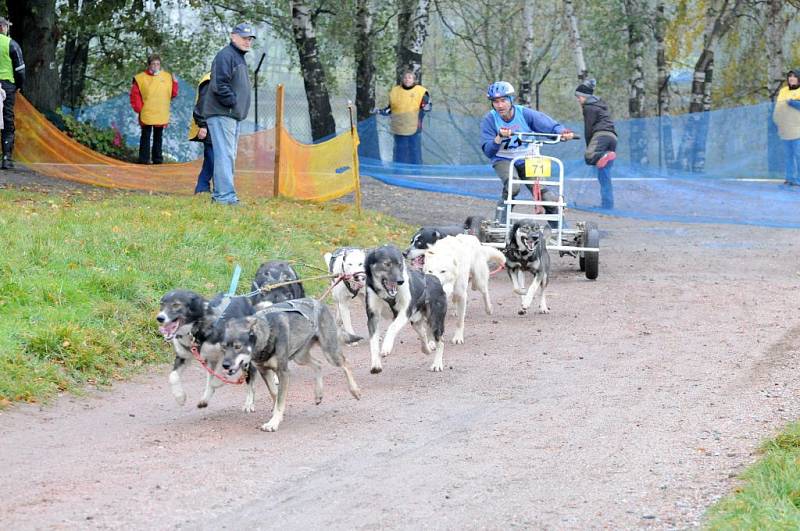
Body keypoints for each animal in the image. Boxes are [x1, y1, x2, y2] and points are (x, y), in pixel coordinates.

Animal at [216, 300, 360, 432]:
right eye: (223, 347)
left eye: (238, 346)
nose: (225, 365)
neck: (268, 332)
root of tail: (319, 303)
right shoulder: (264, 371)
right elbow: (274, 393)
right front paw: (277, 415)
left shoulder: (283, 372)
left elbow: (280, 400)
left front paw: (273, 423)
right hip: (300, 357)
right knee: (318, 364)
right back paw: (318, 394)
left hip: (330, 353)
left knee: (345, 363)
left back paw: (355, 390)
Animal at [364, 245, 446, 374]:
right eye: (387, 264)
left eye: (399, 265)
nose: (400, 281)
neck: (387, 295)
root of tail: (435, 279)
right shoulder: (373, 317)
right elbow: (373, 343)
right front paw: (376, 364)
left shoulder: (404, 312)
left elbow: (392, 328)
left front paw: (386, 346)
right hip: (416, 321)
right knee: (423, 332)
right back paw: (426, 349)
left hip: (435, 321)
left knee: (441, 342)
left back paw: (437, 364)